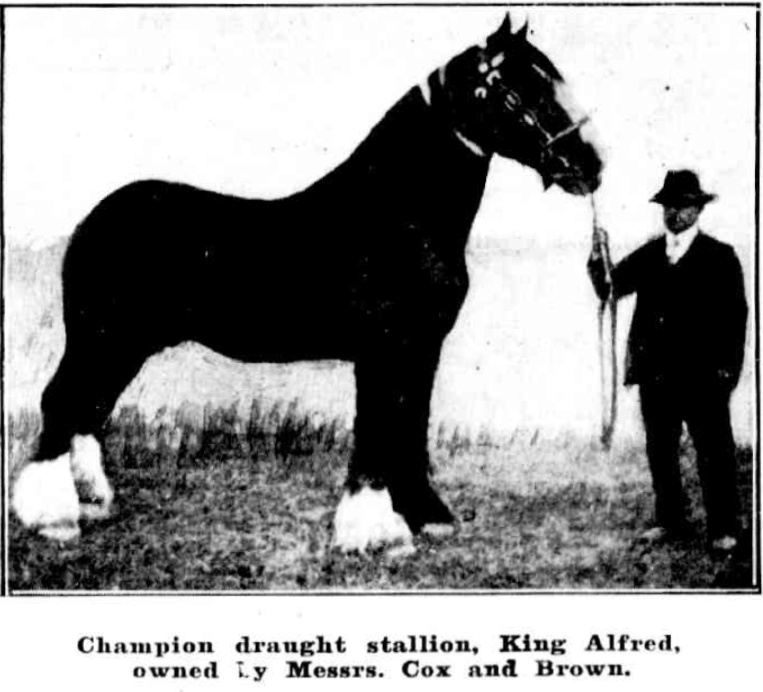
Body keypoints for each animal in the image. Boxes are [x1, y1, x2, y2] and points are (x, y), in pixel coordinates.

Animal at [11, 14, 604, 552]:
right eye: (518, 89)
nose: (591, 165)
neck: (395, 212)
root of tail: (93, 220)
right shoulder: (385, 348)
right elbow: (379, 428)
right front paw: (373, 532)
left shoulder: (422, 347)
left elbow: (411, 426)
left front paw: (425, 515)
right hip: (102, 337)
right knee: (62, 403)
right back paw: (53, 518)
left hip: (124, 344)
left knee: (86, 410)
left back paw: (90, 500)